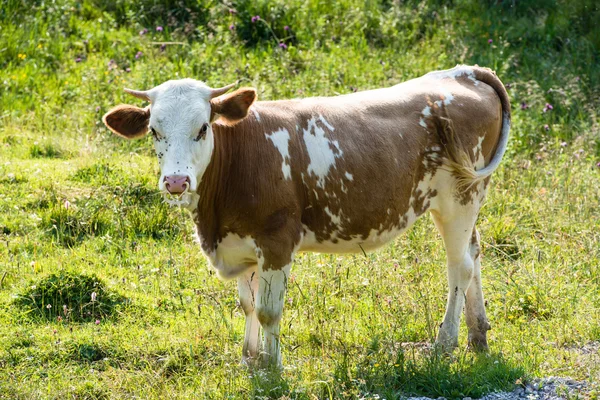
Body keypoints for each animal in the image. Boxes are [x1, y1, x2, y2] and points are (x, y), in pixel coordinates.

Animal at [102, 65, 510, 368]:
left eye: (202, 128)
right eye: (154, 131)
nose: (176, 181)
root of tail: (464, 72)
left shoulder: (276, 240)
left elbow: (268, 310)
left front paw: (272, 368)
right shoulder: (241, 241)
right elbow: (247, 304)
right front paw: (249, 359)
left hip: (459, 195)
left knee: (459, 266)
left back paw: (445, 344)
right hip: (468, 199)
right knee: (474, 253)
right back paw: (478, 336)